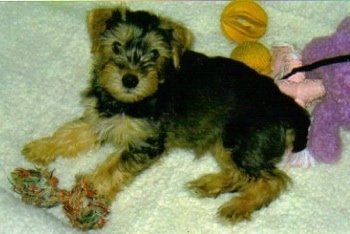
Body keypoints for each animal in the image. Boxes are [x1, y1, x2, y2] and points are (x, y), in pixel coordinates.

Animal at [23, 5, 310, 223]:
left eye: (154, 53)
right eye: (116, 46)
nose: (129, 80)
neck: (129, 101)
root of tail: (284, 103)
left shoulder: (145, 143)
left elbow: (112, 168)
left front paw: (88, 193)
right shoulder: (100, 116)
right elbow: (71, 132)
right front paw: (40, 148)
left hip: (242, 139)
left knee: (272, 179)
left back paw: (238, 206)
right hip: (223, 142)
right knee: (241, 174)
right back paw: (208, 185)